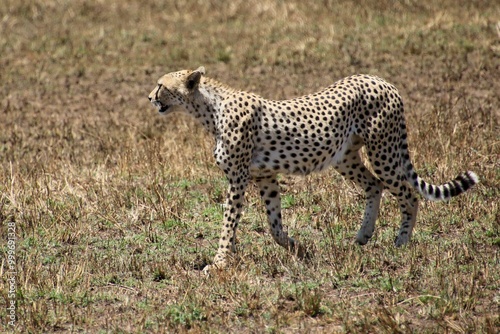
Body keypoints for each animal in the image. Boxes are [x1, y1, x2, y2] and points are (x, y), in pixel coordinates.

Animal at [147, 67, 476, 272]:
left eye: (161, 85)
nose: (150, 98)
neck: (210, 109)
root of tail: (381, 80)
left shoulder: (239, 178)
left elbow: (228, 224)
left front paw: (218, 263)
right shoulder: (265, 177)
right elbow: (274, 225)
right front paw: (297, 248)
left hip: (384, 151)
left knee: (408, 194)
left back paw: (401, 243)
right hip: (345, 157)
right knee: (374, 186)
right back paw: (361, 237)